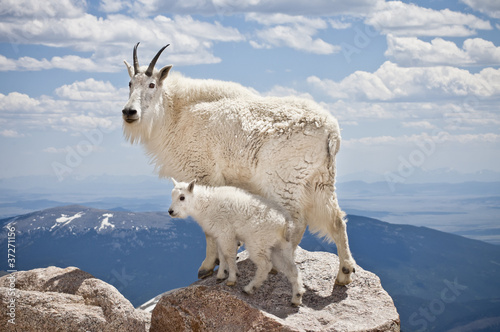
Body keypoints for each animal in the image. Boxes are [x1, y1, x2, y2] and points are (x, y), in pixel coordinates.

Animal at [121, 41, 356, 286]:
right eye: (129, 83)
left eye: (151, 84)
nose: (129, 112)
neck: (176, 114)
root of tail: (332, 132)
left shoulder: (203, 174)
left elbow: (208, 228)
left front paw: (207, 266)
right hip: (320, 179)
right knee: (337, 219)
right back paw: (344, 273)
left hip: (284, 179)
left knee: (297, 221)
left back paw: (279, 265)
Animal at [169, 179, 304, 306]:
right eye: (172, 195)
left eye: (182, 197)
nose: (171, 211)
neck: (205, 205)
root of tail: (286, 223)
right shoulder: (220, 236)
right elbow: (222, 255)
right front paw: (221, 275)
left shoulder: (226, 233)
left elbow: (228, 255)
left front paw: (231, 279)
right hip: (281, 247)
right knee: (292, 269)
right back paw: (296, 298)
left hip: (257, 243)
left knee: (265, 265)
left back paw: (249, 288)